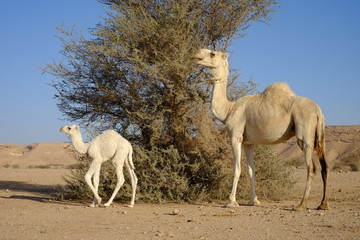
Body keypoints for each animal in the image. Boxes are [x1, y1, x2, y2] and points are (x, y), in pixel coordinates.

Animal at [194, 48, 330, 210]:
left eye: (212, 53)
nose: (197, 54)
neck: (228, 110)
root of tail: (318, 110)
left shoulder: (235, 136)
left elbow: (237, 168)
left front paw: (231, 202)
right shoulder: (248, 143)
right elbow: (251, 170)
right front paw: (254, 201)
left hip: (305, 135)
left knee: (311, 168)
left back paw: (301, 204)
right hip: (319, 136)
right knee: (324, 167)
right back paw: (323, 204)